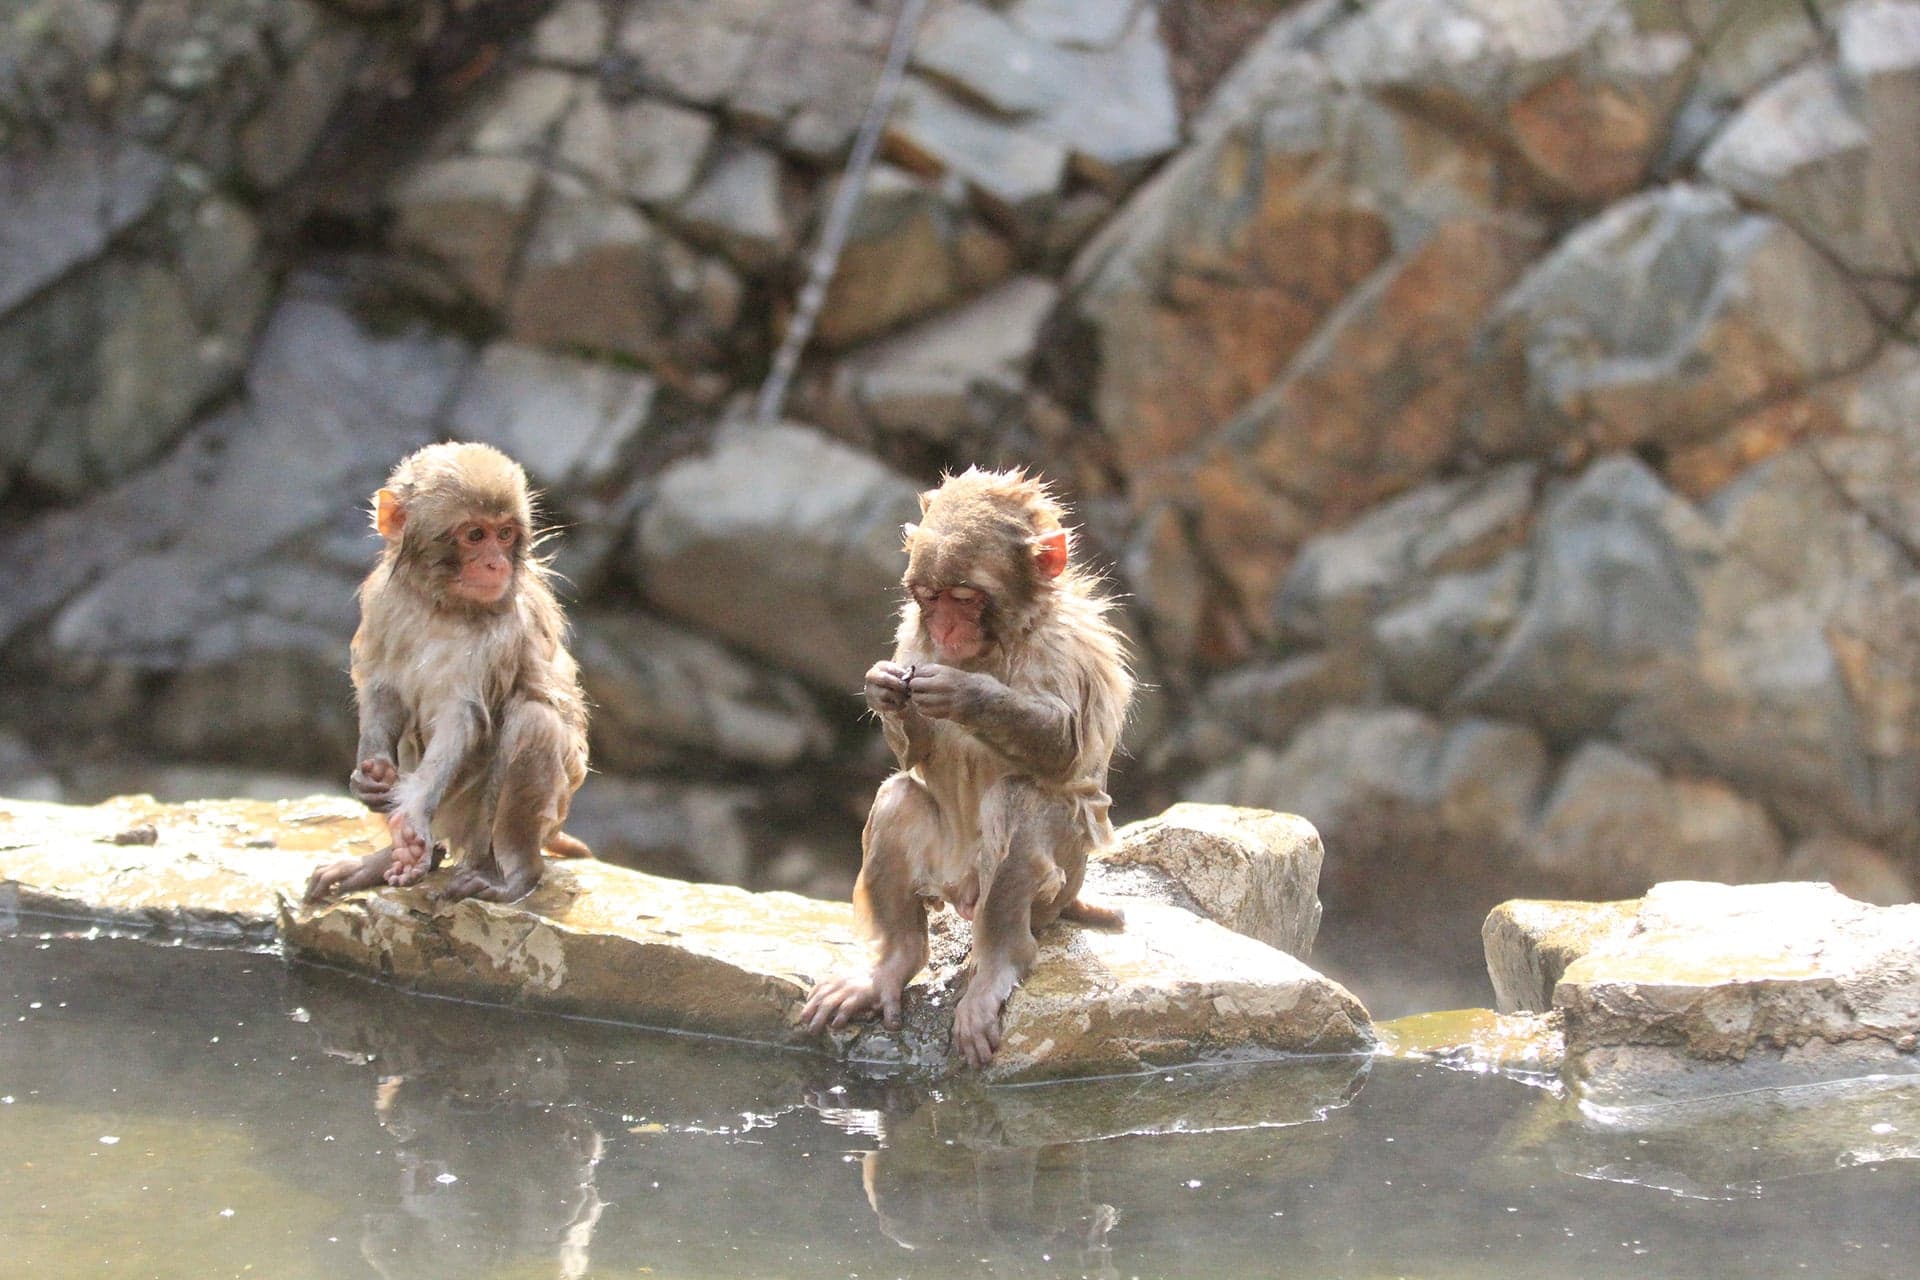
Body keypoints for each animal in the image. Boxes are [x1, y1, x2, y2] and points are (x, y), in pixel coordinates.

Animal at [304, 441, 591, 906]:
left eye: (504, 534)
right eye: (475, 535)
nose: (495, 565)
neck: (442, 604)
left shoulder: (501, 632)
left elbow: (460, 720)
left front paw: (413, 815)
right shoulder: (384, 597)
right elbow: (382, 687)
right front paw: (370, 776)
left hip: (500, 815)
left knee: (535, 721)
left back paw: (514, 875)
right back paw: (384, 861)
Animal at [801, 467, 1133, 1068]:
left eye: (964, 597)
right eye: (929, 598)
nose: (947, 629)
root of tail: (961, 888)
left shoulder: (1064, 645)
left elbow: (1066, 748)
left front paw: (967, 694)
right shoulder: (912, 632)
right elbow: (913, 757)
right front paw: (884, 689)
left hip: (1057, 887)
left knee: (1022, 806)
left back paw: (997, 965)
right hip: (946, 867)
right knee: (898, 799)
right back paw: (893, 966)